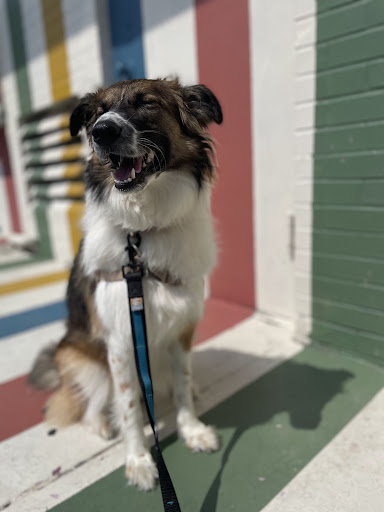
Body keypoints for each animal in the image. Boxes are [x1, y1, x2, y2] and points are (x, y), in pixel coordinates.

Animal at [30, 77, 222, 492]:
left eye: (147, 103)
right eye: (98, 113)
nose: (102, 132)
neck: (143, 231)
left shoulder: (182, 328)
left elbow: (181, 384)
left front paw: (192, 429)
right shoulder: (119, 340)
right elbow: (131, 405)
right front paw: (138, 460)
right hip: (79, 357)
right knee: (89, 400)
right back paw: (102, 423)